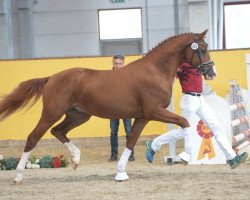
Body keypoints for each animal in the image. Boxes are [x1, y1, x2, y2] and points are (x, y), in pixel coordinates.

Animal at [0, 29, 215, 184]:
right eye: (203, 49)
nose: (211, 73)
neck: (155, 71)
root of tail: (51, 78)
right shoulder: (154, 111)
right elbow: (184, 122)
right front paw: (185, 155)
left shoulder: (143, 116)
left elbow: (131, 141)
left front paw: (121, 173)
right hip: (52, 113)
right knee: (34, 137)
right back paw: (18, 176)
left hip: (78, 115)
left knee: (58, 131)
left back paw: (76, 160)